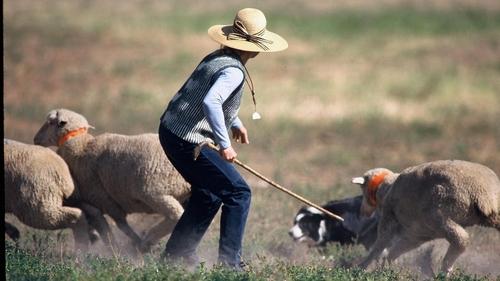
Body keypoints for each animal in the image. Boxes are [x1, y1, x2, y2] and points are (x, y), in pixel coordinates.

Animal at [33, 107, 192, 252]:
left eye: (50, 122)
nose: (35, 140)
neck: (81, 145)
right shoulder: (101, 202)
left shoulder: (102, 200)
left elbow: (113, 227)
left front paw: (118, 249)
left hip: (156, 193)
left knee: (176, 215)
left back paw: (148, 240)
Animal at [350, 159, 500, 274]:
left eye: (363, 191)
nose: (362, 212)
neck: (385, 186)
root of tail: (485, 194)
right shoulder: (419, 233)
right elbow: (401, 247)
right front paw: (387, 265)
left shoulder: (389, 215)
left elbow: (381, 242)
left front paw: (362, 267)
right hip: (494, 215)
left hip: (438, 211)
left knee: (461, 239)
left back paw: (444, 272)